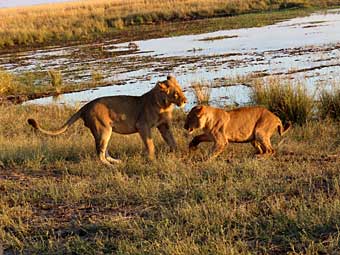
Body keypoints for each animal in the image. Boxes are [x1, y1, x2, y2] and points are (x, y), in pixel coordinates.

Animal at [27, 75, 187, 165]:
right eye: (176, 93)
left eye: (181, 90)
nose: (185, 101)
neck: (164, 105)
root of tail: (86, 106)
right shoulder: (142, 125)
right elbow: (150, 144)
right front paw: (152, 159)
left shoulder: (164, 126)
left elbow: (172, 141)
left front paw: (178, 154)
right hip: (103, 129)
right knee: (99, 153)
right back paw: (110, 166)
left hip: (104, 131)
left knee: (104, 151)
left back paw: (117, 161)